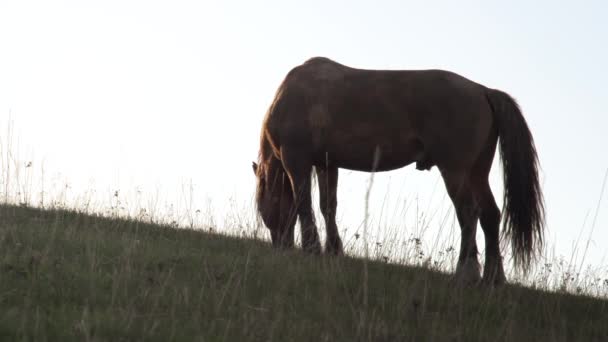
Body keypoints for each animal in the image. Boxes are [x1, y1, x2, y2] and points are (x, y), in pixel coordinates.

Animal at [252, 56, 548, 286]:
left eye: (263, 205)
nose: (279, 245)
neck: (290, 96)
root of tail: (482, 90)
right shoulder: (327, 165)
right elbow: (328, 207)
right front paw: (333, 250)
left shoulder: (297, 161)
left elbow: (303, 203)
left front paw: (312, 248)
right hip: (477, 173)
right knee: (490, 215)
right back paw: (493, 277)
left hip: (455, 171)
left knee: (468, 213)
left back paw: (466, 272)